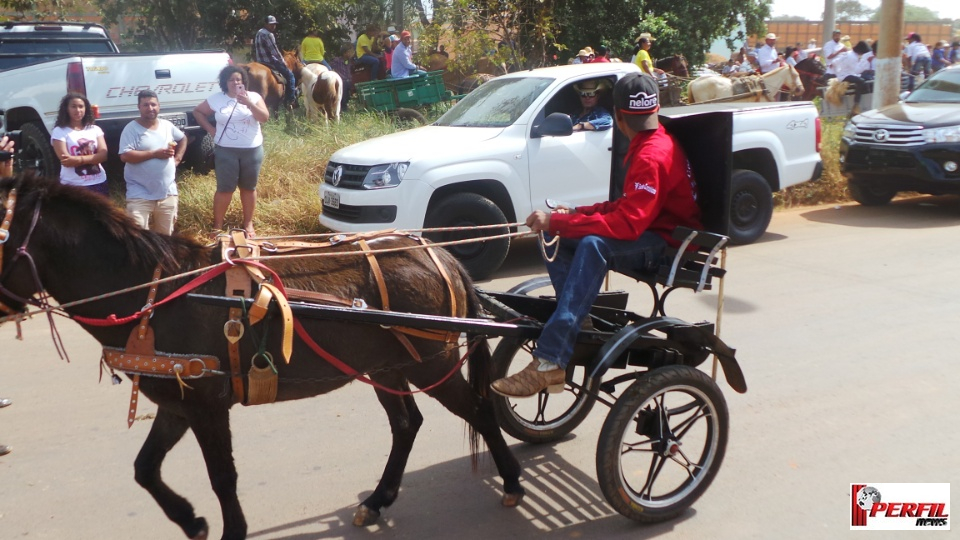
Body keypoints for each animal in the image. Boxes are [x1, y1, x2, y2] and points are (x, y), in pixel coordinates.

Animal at [0, 174, 524, 540]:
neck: (156, 295)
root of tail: (438, 251)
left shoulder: (207, 405)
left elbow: (223, 476)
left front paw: (229, 529)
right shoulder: (178, 402)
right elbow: (145, 469)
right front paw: (191, 520)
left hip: (430, 362)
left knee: (479, 409)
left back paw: (513, 483)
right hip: (387, 366)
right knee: (406, 424)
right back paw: (378, 500)